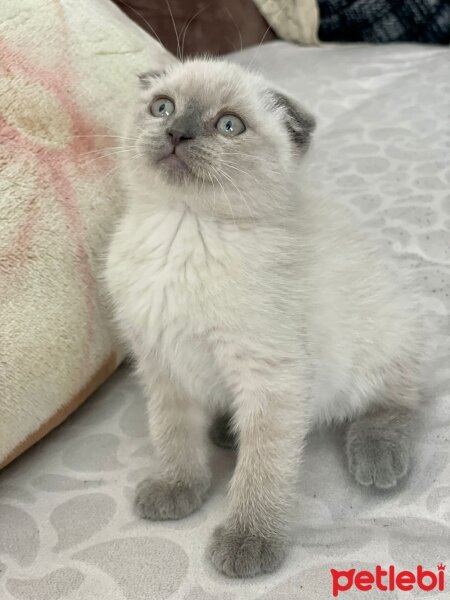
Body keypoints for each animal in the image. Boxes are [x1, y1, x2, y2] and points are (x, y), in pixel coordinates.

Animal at [105, 58, 422, 580]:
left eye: (229, 125)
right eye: (163, 107)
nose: (176, 132)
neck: (182, 230)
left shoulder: (272, 376)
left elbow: (263, 470)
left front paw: (248, 541)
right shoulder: (163, 364)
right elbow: (172, 435)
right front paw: (177, 488)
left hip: (376, 347)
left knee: (397, 403)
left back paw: (377, 459)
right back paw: (225, 431)